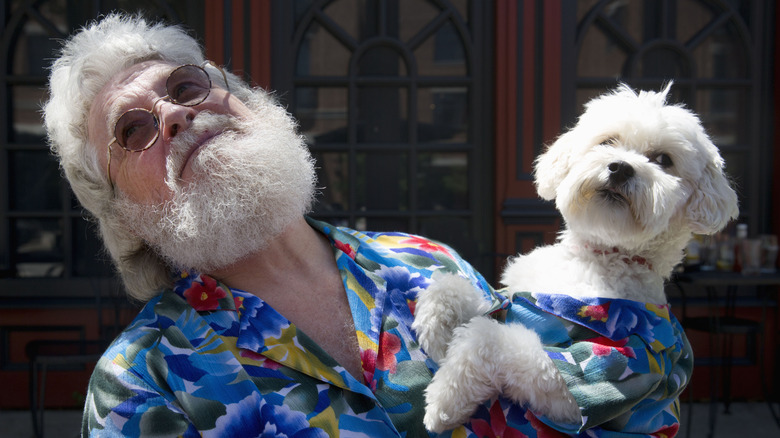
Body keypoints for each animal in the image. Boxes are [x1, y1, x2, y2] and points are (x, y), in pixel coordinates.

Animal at [414, 83, 736, 434]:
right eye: (608, 141)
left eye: (664, 160)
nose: (620, 167)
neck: (599, 258)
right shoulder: (510, 296)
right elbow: (460, 288)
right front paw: (436, 325)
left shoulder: (590, 376)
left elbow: (490, 338)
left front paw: (446, 399)